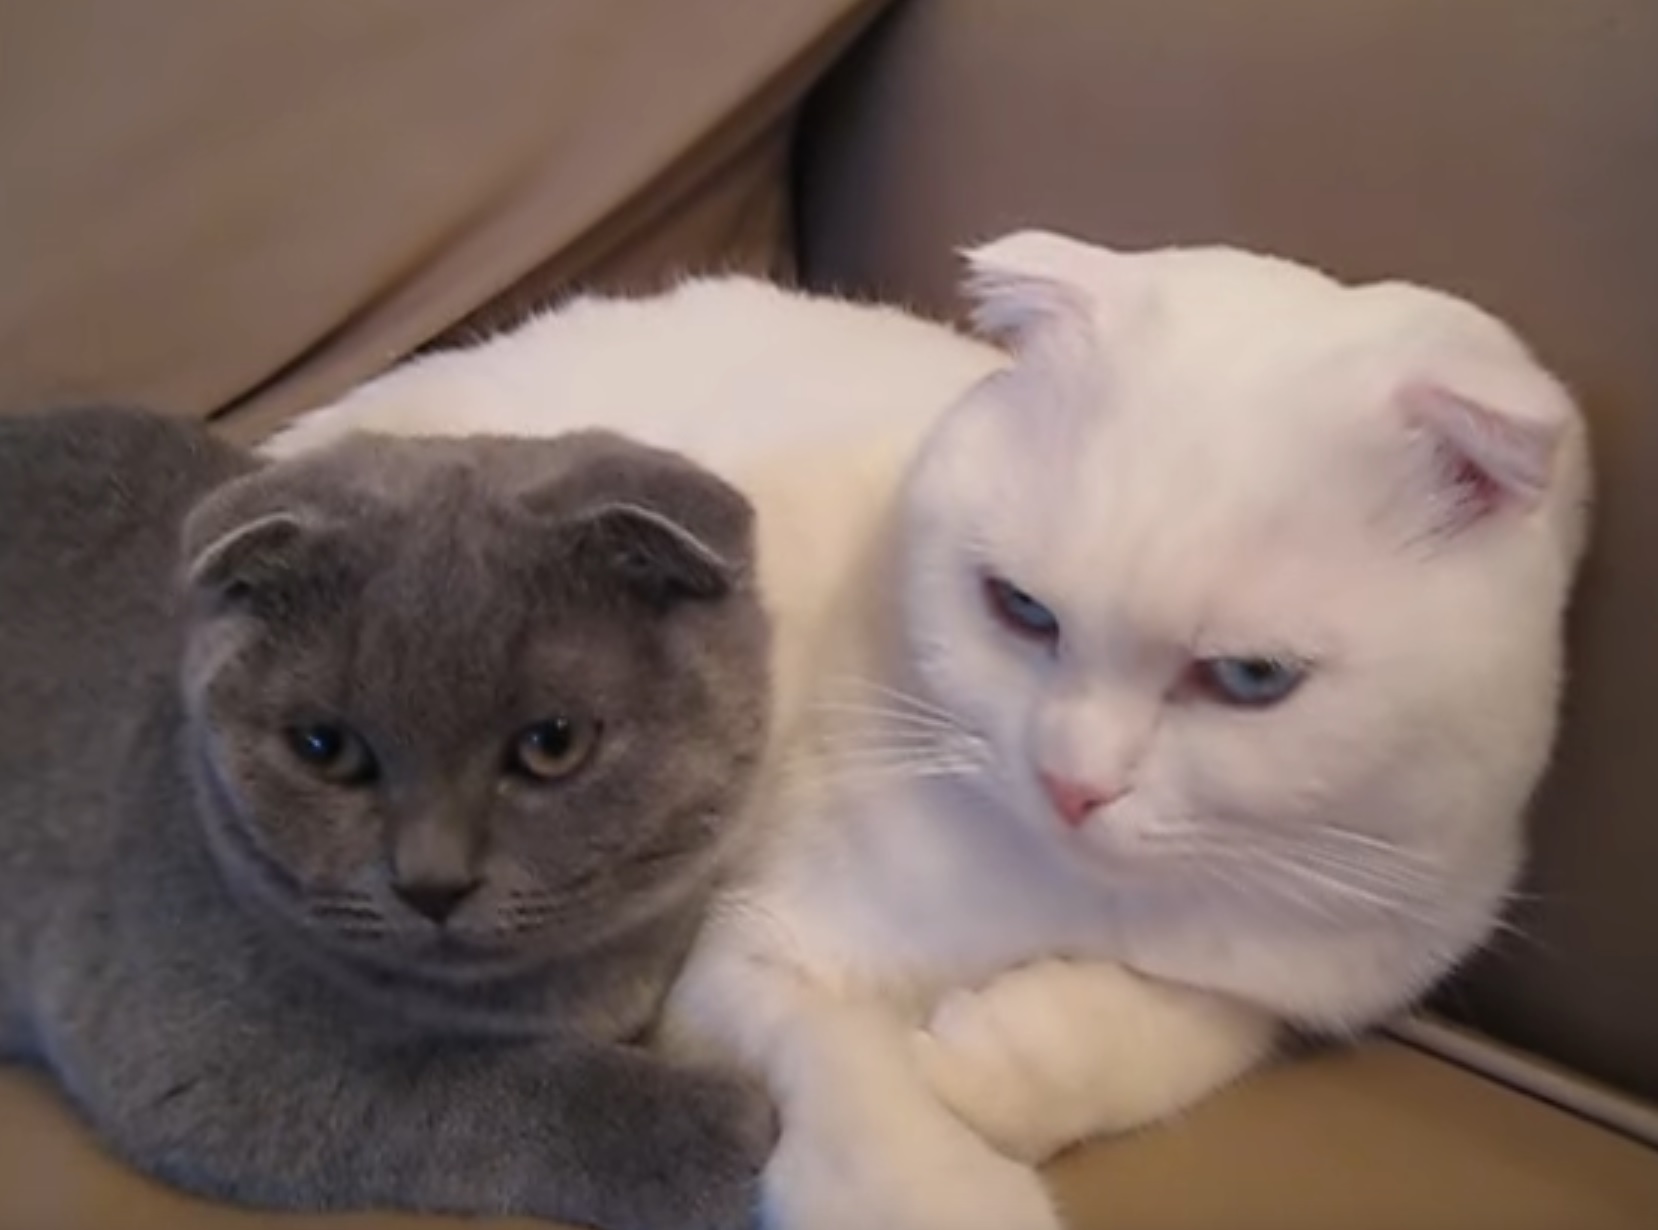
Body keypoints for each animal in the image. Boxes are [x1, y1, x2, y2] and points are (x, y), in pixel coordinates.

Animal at [0, 409, 775, 1230]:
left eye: (554, 744)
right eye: (324, 747)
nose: (431, 882)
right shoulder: (186, 1054)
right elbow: (447, 1084)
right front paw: (700, 1135)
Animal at [271, 233, 1591, 1230]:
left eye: (1250, 679)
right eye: (1020, 610)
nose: (1071, 783)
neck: (1059, 894)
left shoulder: (1332, 959)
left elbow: (1195, 1020)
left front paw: (996, 1064)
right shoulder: (744, 958)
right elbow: (845, 1063)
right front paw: (938, 1168)